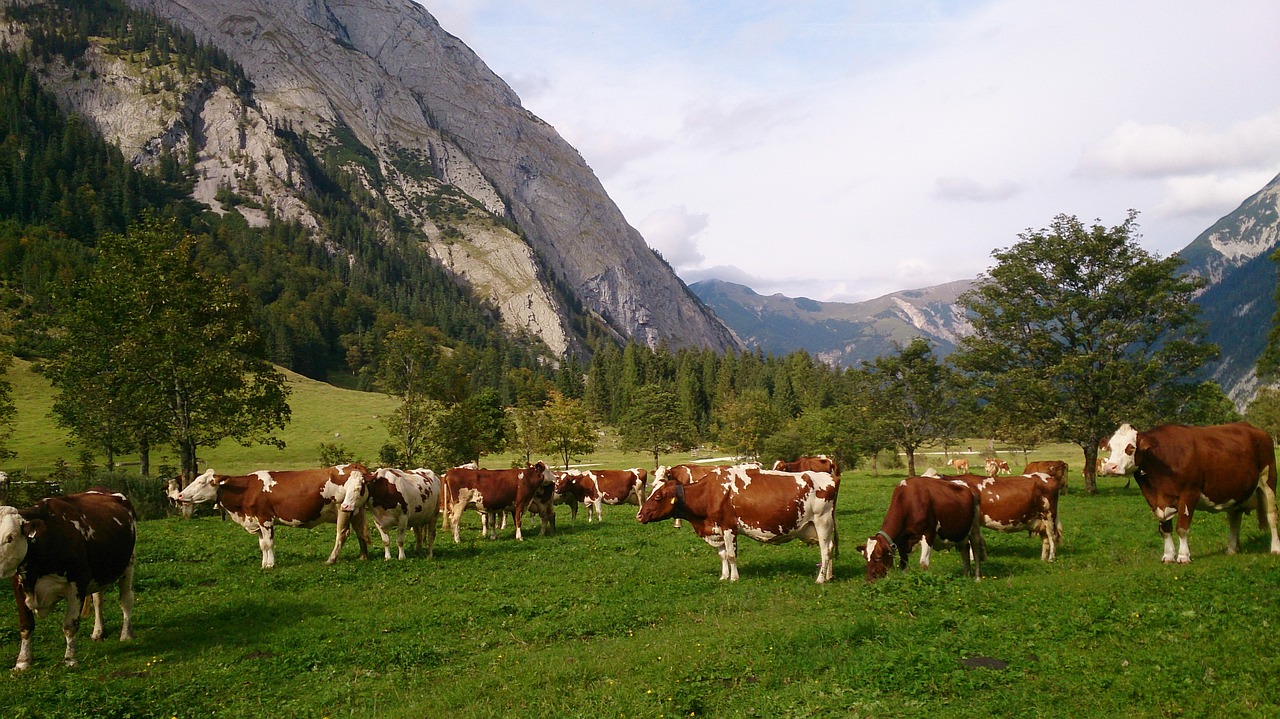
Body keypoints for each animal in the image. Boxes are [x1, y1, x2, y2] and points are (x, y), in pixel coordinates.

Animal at [0, 483, 136, 670]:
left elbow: (70, 625)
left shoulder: (78, 583)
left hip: (128, 564)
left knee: (126, 599)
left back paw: (126, 634)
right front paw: (22, 662)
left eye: (10, 537)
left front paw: (70, 659)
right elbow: (26, 625)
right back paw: (98, 632)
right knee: (98, 600)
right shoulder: (19, 584)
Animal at [174, 460, 371, 568]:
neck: (247, 490)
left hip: (342, 509)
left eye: (201, 482)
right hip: (354, 510)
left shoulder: (265, 519)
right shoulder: (256, 521)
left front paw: (270, 565)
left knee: (342, 534)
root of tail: (353, 466)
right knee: (360, 532)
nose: (180, 495)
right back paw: (363, 557)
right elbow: (262, 545)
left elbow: (268, 544)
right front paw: (264, 564)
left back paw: (331, 559)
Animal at [637, 465, 839, 583]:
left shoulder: (728, 527)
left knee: (825, 550)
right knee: (829, 548)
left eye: (657, 496)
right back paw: (829, 575)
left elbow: (731, 555)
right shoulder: (716, 529)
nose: (639, 515)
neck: (709, 493)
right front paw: (723, 576)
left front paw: (734, 578)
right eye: (651, 491)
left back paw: (820, 580)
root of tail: (830, 477)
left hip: (822, 521)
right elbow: (723, 555)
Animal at [855, 473, 983, 578]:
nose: (869, 580)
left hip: (975, 528)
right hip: (962, 533)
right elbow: (903, 565)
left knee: (976, 549)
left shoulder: (928, 534)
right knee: (965, 549)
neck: (909, 501)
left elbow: (923, 564)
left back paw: (977, 578)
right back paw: (966, 575)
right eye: (865, 557)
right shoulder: (902, 542)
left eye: (878, 557)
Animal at [1100, 419, 1280, 560]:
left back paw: (1275, 549)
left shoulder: (1189, 493)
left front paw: (1183, 556)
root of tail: (1255, 429)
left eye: (1130, 447)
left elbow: (1182, 527)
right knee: (1234, 519)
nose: (1110, 467)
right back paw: (1231, 549)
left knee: (1271, 516)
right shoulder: (1157, 501)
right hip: (1235, 492)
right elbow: (1165, 529)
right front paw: (1168, 556)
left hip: (1268, 481)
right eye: (1110, 448)